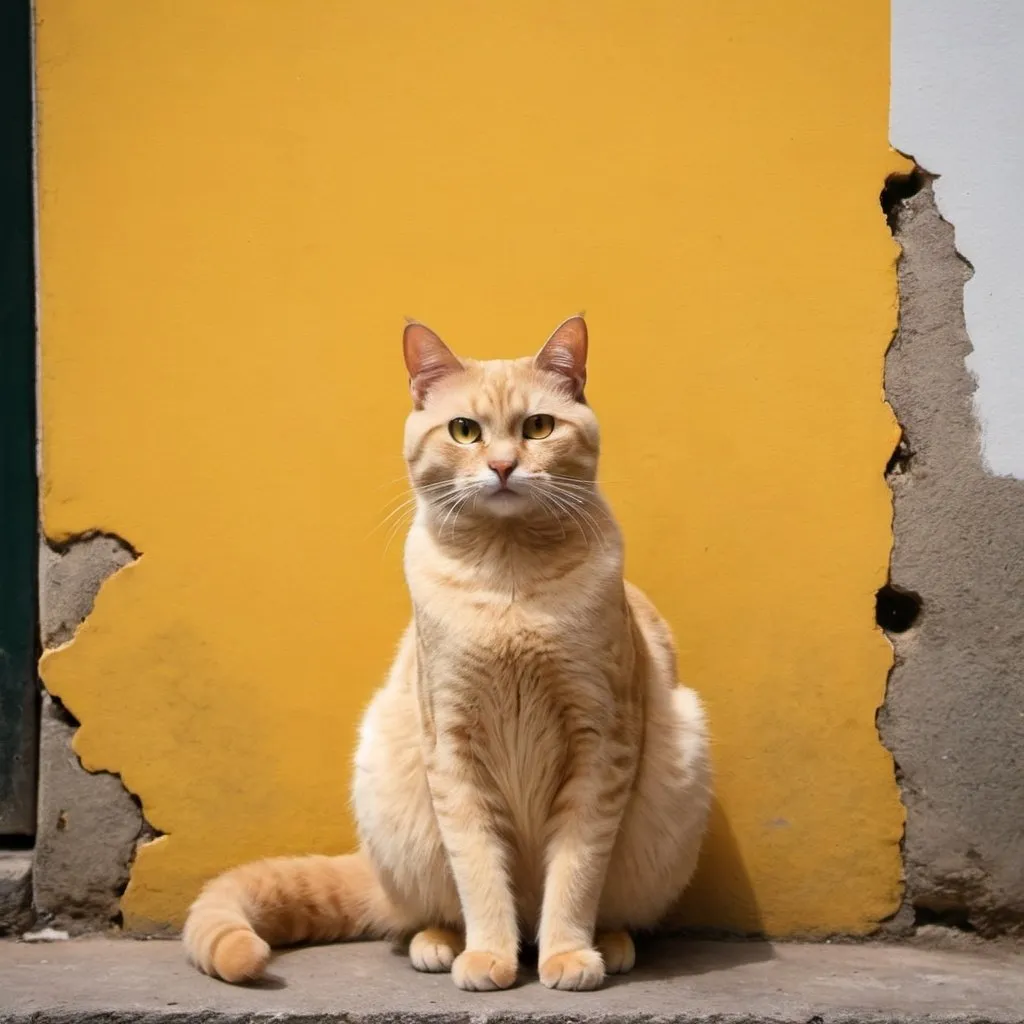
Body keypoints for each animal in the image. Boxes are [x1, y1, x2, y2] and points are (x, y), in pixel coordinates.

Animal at [182, 317, 712, 991]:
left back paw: (605, 944)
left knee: (600, 908)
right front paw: (489, 956)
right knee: (431, 912)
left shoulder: (602, 742)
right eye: (465, 430)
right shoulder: (453, 747)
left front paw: (567, 955)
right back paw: (442, 943)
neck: (508, 580)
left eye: (538, 427)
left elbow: (576, 871)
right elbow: (479, 870)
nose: (504, 465)